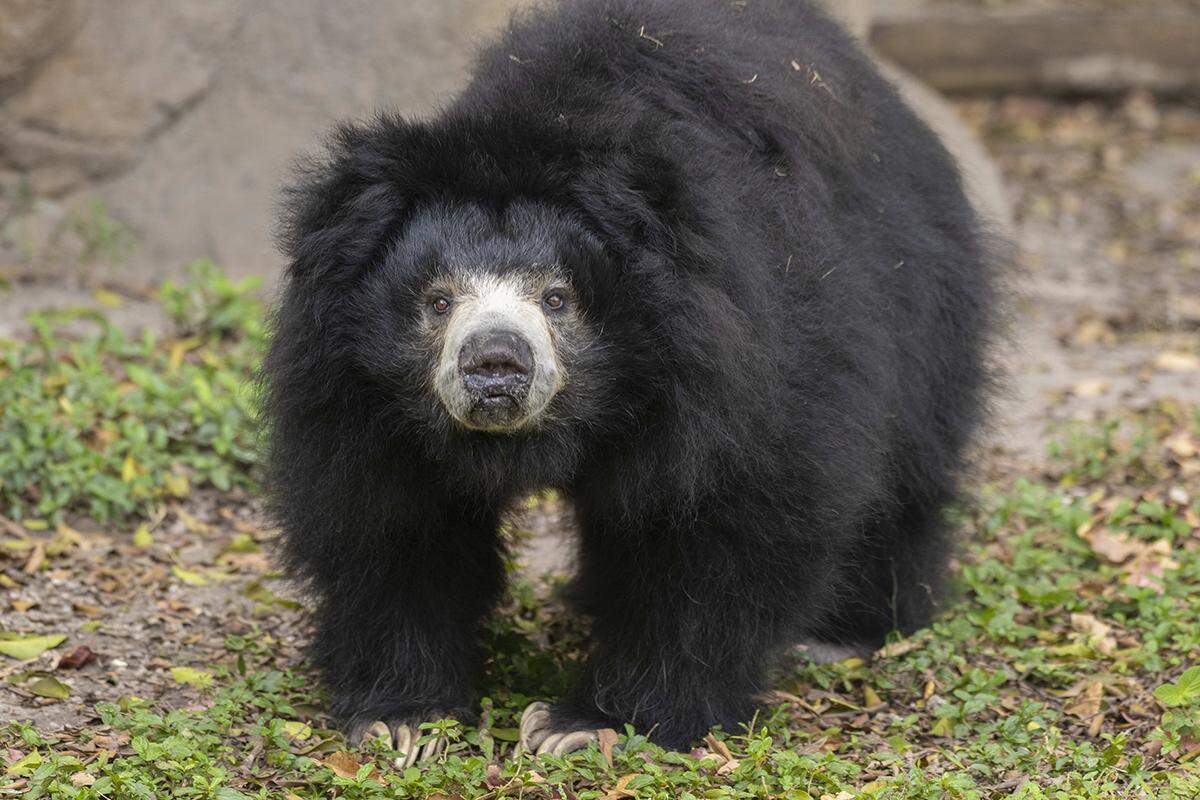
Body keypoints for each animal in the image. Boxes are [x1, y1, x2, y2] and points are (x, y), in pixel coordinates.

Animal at [263, 0, 999, 762]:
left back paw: (846, 631)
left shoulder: (735, 370)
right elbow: (391, 524)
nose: (495, 363)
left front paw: (584, 724)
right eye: (437, 301)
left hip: (920, 302)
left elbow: (722, 529)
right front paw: (403, 719)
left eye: (557, 297)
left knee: (904, 478)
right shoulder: (353, 395)